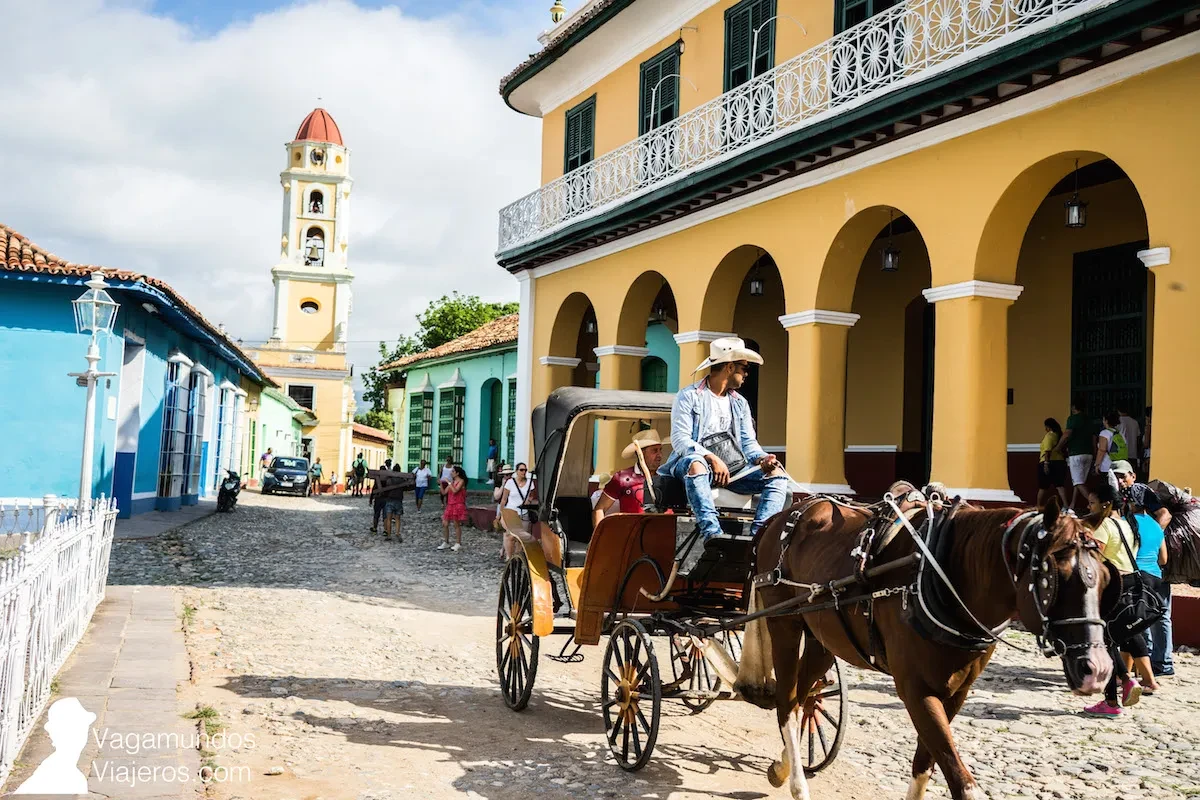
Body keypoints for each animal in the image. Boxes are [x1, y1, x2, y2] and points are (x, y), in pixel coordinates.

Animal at [729, 494, 1113, 800]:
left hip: (823, 637)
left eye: (1106, 578)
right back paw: (797, 784)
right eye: (1053, 575)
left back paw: (781, 767)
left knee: (802, 697)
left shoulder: (957, 691)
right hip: (784, 622)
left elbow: (924, 764)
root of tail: (784, 514)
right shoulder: (915, 688)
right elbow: (961, 782)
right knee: (786, 703)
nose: (1097, 670)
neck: (944, 573)